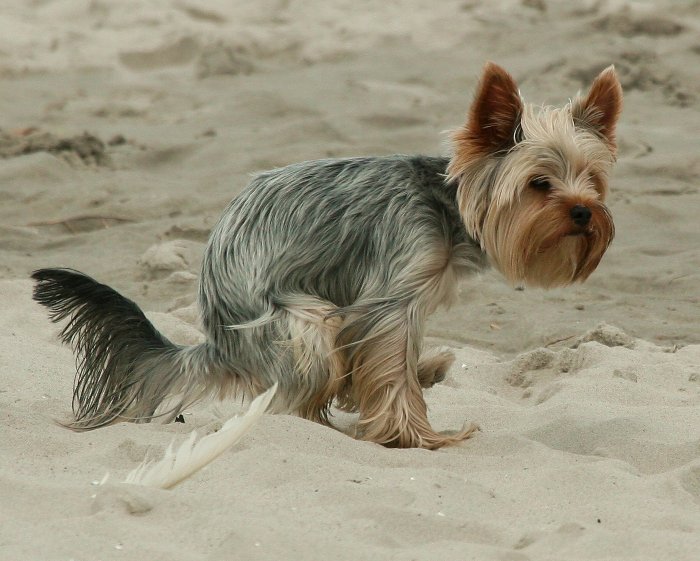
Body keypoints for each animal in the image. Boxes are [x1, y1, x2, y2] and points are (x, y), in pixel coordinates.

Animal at [34, 64, 624, 450]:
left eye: (592, 180)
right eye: (539, 184)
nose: (584, 213)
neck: (446, 206)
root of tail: (217, 345)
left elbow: (393, 367)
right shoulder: (389, 300)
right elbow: (392, 373)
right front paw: (422, 437)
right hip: (301, 324)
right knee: (298, 392)